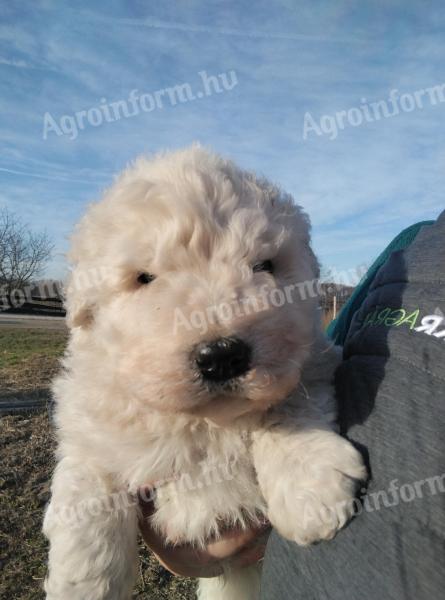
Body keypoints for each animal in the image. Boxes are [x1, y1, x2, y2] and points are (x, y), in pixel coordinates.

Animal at [43, 146, 366, 600]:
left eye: (264, 265)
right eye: (144, 278)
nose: (222, 355)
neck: (206, 423)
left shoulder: (309, 359)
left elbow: (287, 406)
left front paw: (310, 489)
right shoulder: (90, 426)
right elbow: (88, 489)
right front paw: (84, 584)